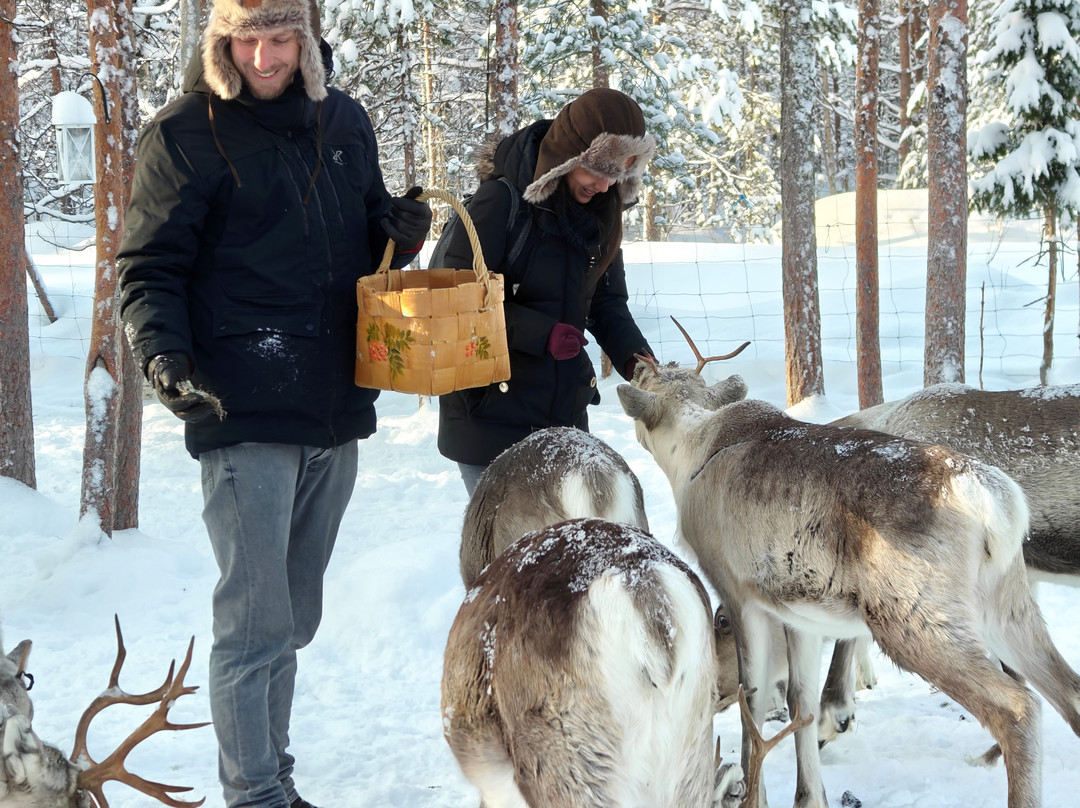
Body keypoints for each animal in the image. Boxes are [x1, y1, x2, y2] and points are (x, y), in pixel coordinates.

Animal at [618, 356, 1080, 808]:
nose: (635, 364)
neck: (692, 451)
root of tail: (996, 502)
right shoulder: (798, 613)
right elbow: (799, 699)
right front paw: (808, 795)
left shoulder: (736, 591)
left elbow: (753, 698)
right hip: (1005, 605)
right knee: (1067, 690)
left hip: (915, 620)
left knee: (1018, 707)